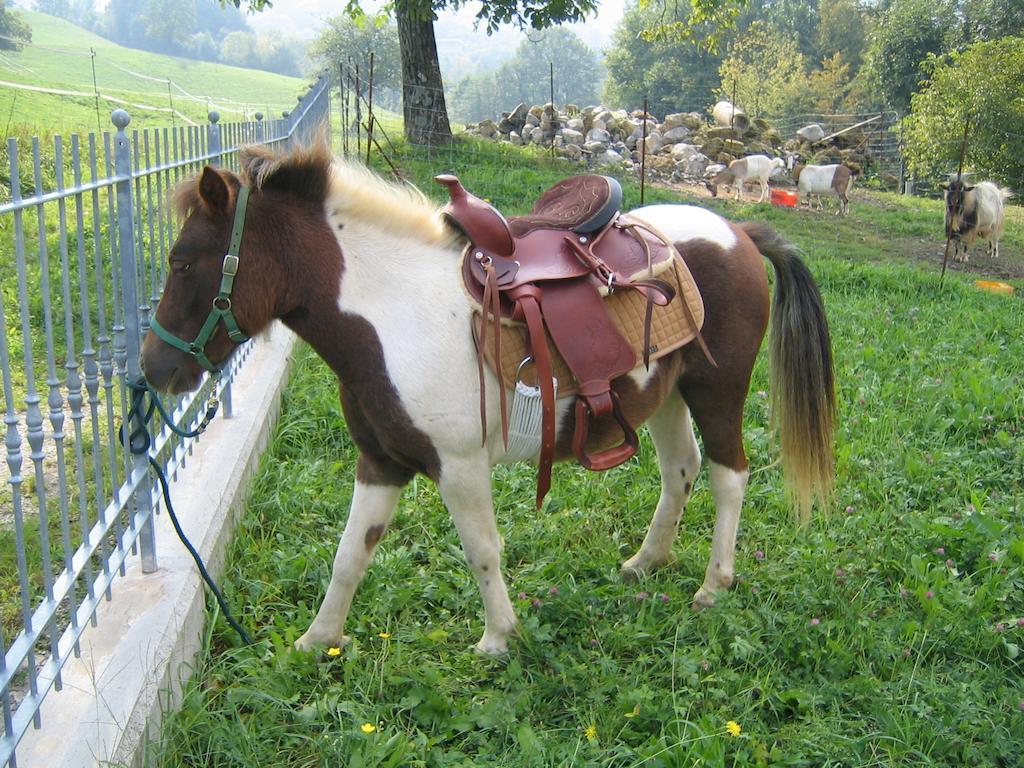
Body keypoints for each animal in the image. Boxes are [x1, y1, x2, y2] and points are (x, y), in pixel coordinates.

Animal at [142, 144, 831, 655]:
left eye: (182, 262)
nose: (154, 370)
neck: (392, 315)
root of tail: (738, 229)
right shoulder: (381, 462)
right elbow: (349, 554)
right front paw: (317, 641)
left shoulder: (459, 466)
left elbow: (481, 550)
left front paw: (498, 638)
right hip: (663, 395)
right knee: (680, 470)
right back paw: (647, 561)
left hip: (718, 391)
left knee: (729, 476)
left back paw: (714, 585)